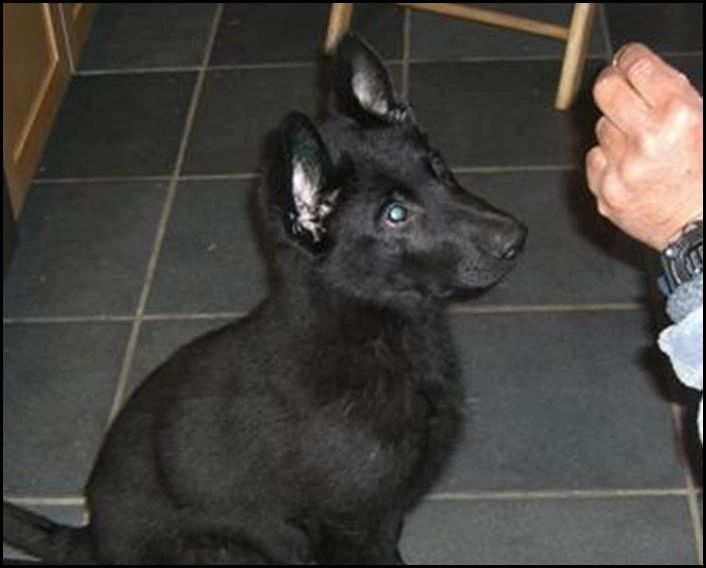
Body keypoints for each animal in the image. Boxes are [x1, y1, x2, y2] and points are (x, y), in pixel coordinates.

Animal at [4, 35, 524, 564]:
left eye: (438, 168)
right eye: (395, 214)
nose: (517, 238)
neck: (375, 336)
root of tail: (89, 538)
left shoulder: (382, 517)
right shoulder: (351, 525)